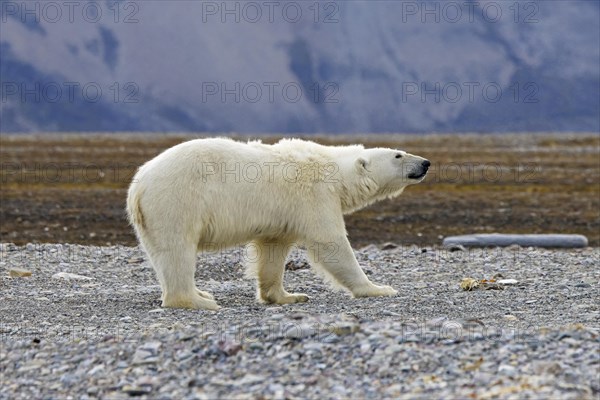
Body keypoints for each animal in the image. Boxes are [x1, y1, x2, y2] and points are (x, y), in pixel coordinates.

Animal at [126, 138, 428, 310]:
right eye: (398, 155)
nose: (425, 162)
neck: (335, 170)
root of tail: (138, 185)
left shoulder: (282, 213)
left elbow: (272, 250)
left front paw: (289, 296)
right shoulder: (313, 196)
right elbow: (330, 243)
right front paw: (378, 288)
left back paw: (200, 292)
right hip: (178, 201)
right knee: (177, 250)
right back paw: (200, 301)